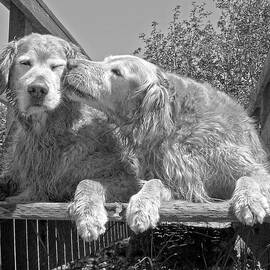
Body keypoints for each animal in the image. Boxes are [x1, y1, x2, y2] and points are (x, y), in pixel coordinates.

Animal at [0, 34, 138, 240]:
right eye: (25, 63)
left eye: (57, 66)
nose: (38, 89)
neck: (49, 133)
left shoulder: (126, 178)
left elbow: (88, 181)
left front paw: (89, 216)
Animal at [63, 54, 270, 232]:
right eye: (105, 60)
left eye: (117, 72)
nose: (69, 63)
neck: (174, 121)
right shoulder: (176, 184)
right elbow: (150, 182)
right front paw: (140, 205)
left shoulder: (251, 168)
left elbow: (247, 177)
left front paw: (249, 201)